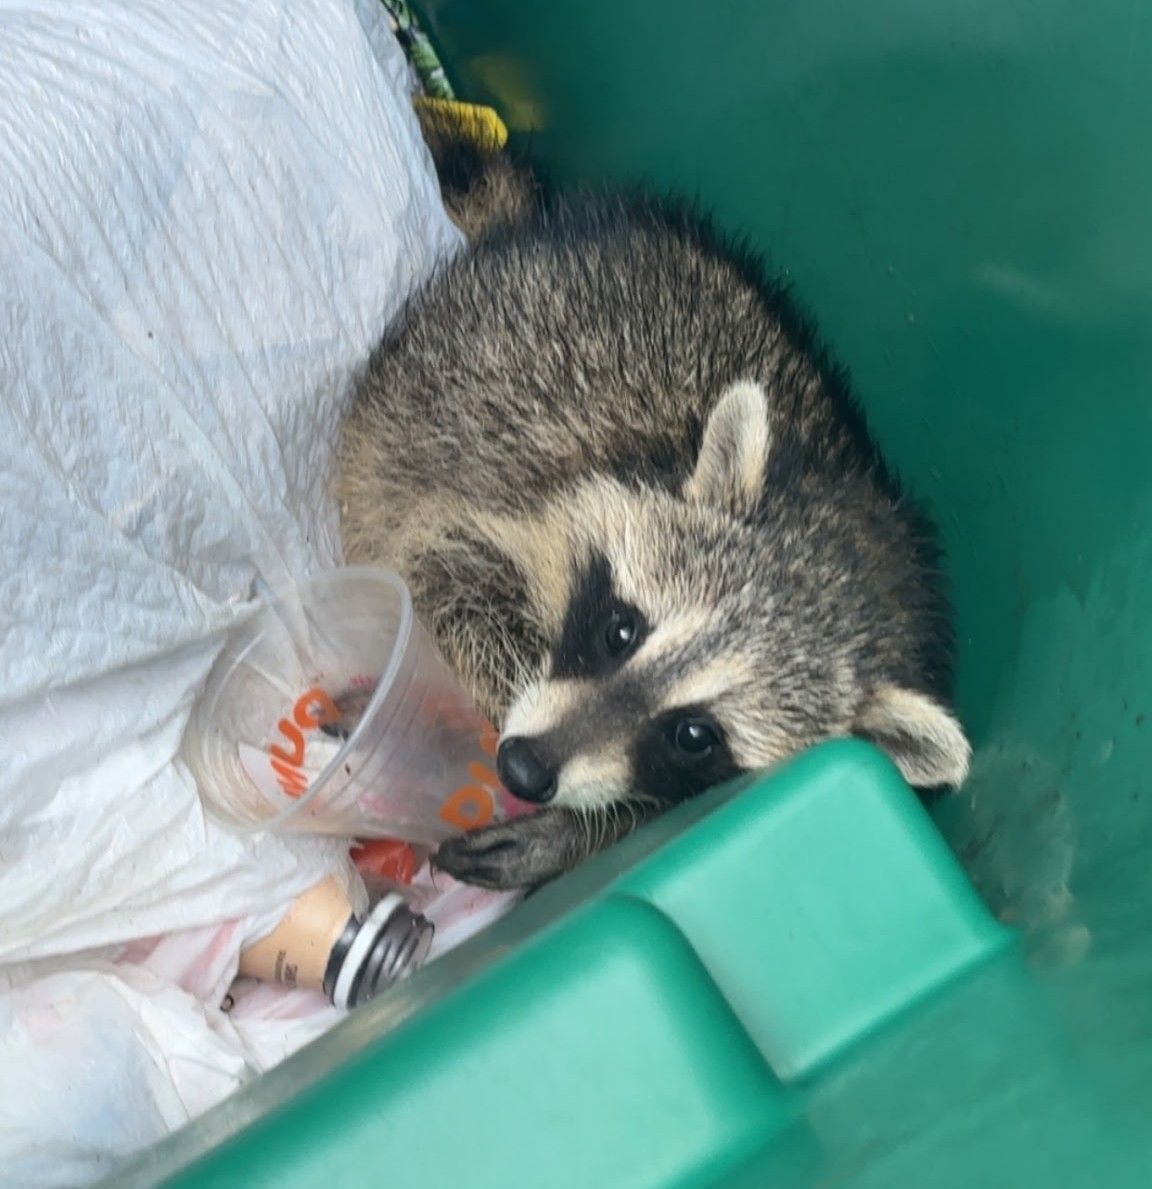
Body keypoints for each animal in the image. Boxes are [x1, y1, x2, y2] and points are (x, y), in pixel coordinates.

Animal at [338, 128, 969, 890]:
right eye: (621, 629)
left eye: (694, 736)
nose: (523, 767)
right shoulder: (522, 496)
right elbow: (447, 569)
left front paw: (586, 827)